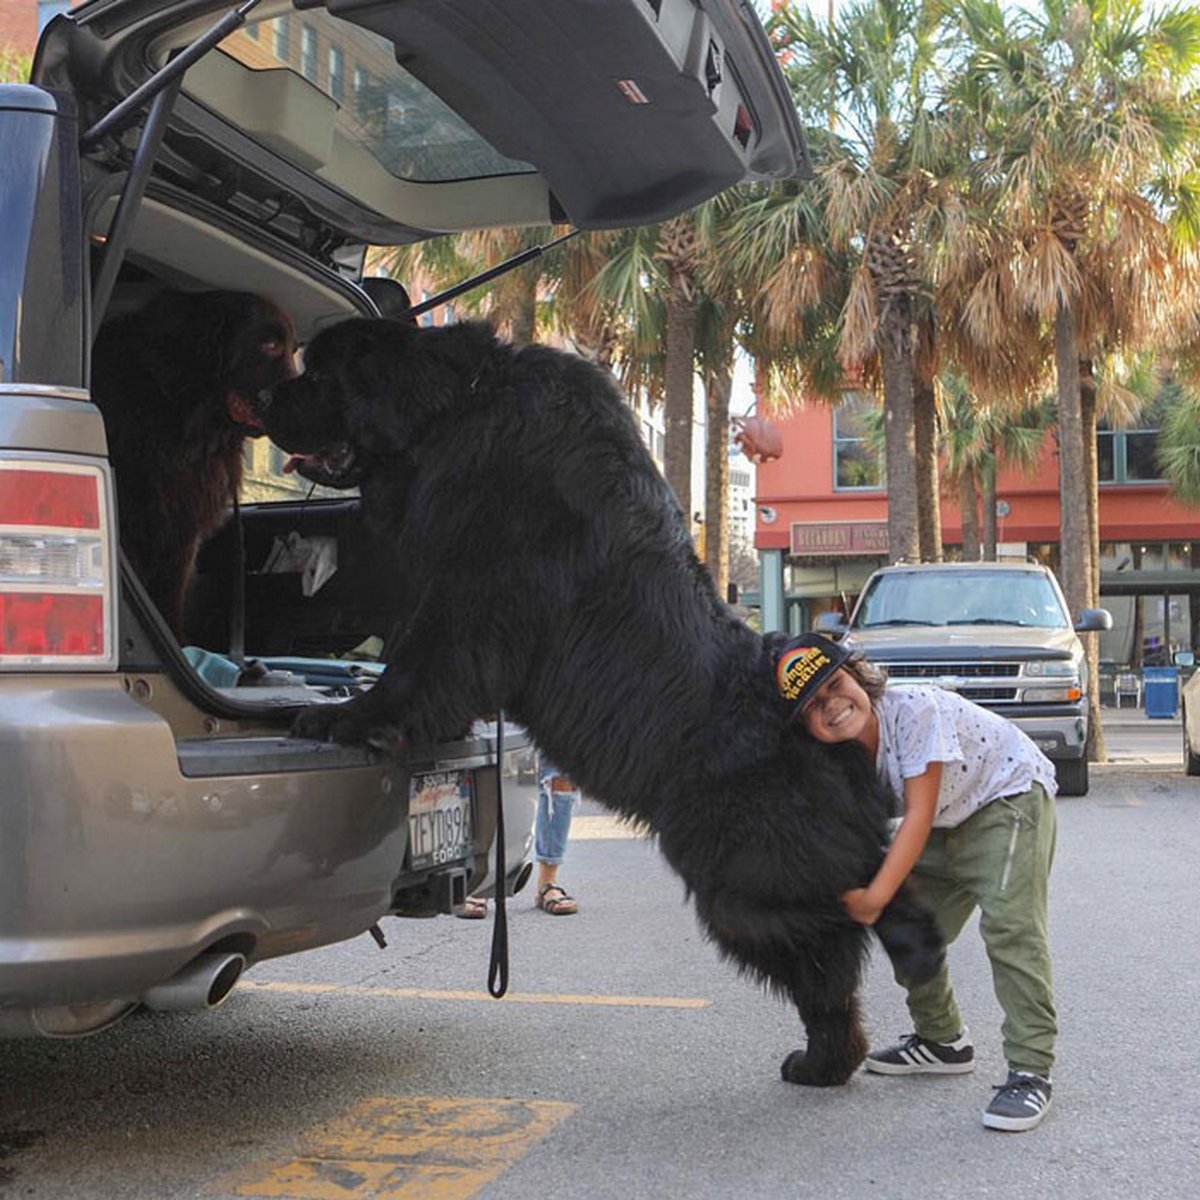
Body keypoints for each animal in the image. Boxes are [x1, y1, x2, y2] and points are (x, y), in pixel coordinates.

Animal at [258, 319, 940, 1089]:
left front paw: (347, 718)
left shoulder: (470, 594)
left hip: (743, 876)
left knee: (834, 941)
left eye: (320, 373)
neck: (459, 405)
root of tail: (829, 735)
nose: (264, 394)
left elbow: (416, 666)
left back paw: (830, 1050)